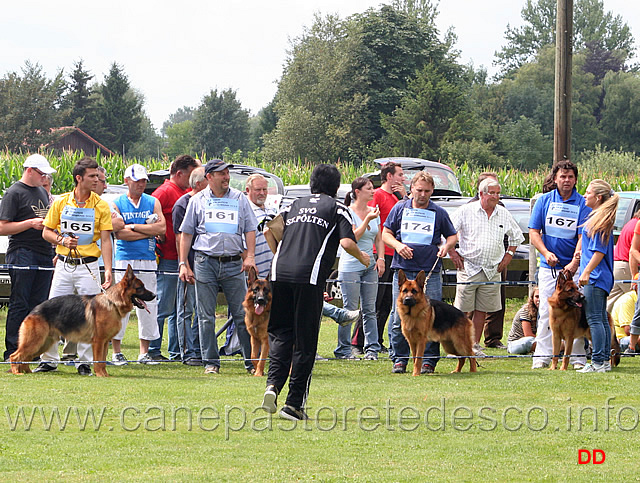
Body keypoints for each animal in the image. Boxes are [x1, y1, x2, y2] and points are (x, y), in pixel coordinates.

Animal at [10, 264, 156, 378]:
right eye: (140, 288)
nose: (155, 295)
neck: (112, 302)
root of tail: (33, 311)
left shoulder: (104, 343)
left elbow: (102, 361)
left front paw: (105, 375)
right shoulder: (98, 342)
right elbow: (98, 361)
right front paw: (100, 375)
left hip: (43, 343)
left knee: (25, 358)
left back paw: (28, 372)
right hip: (35, 341)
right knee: (15, 356)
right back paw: (17, 372)